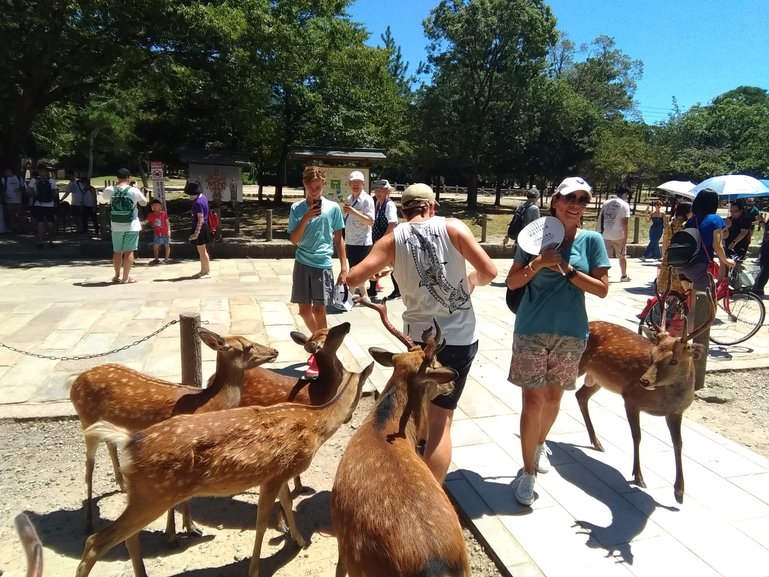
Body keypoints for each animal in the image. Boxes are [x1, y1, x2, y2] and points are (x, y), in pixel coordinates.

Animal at [69, 328, 280, 540]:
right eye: (248, 346)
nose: (275, 351)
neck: (209, 403)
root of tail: (74, 383)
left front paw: (188, 527)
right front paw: (174, 532)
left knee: (110, 445)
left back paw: (121, 485)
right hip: (86, 419)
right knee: (89, 465)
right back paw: (88, 522)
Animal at [75, 352, 372, 576]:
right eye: (364, 392)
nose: (351, 418)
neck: (316, 426)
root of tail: (129, 441)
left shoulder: (277, 473)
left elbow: (287, 503)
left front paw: (299, 540)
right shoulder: (277, 474)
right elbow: (262, 522)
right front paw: (254, 569)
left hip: (144, 494)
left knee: (129, 537)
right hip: (153, 494)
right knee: (96, 541)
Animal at [332, 300, 472, 576]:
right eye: (437, 362)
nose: (452, 384)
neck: (382, 426)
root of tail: (434, 565)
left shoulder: (342, 544)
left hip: (362, 562)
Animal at [580, 274, 716, 500]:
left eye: (674, 361)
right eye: (653, 355)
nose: (643, 381)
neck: (665, 401)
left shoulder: (676, 412)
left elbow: (679, 444)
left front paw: (679, 491)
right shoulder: (630, 398)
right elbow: (637, 436)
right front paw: (638, 476)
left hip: (599, 379)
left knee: (580, 395)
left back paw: (596, 442)